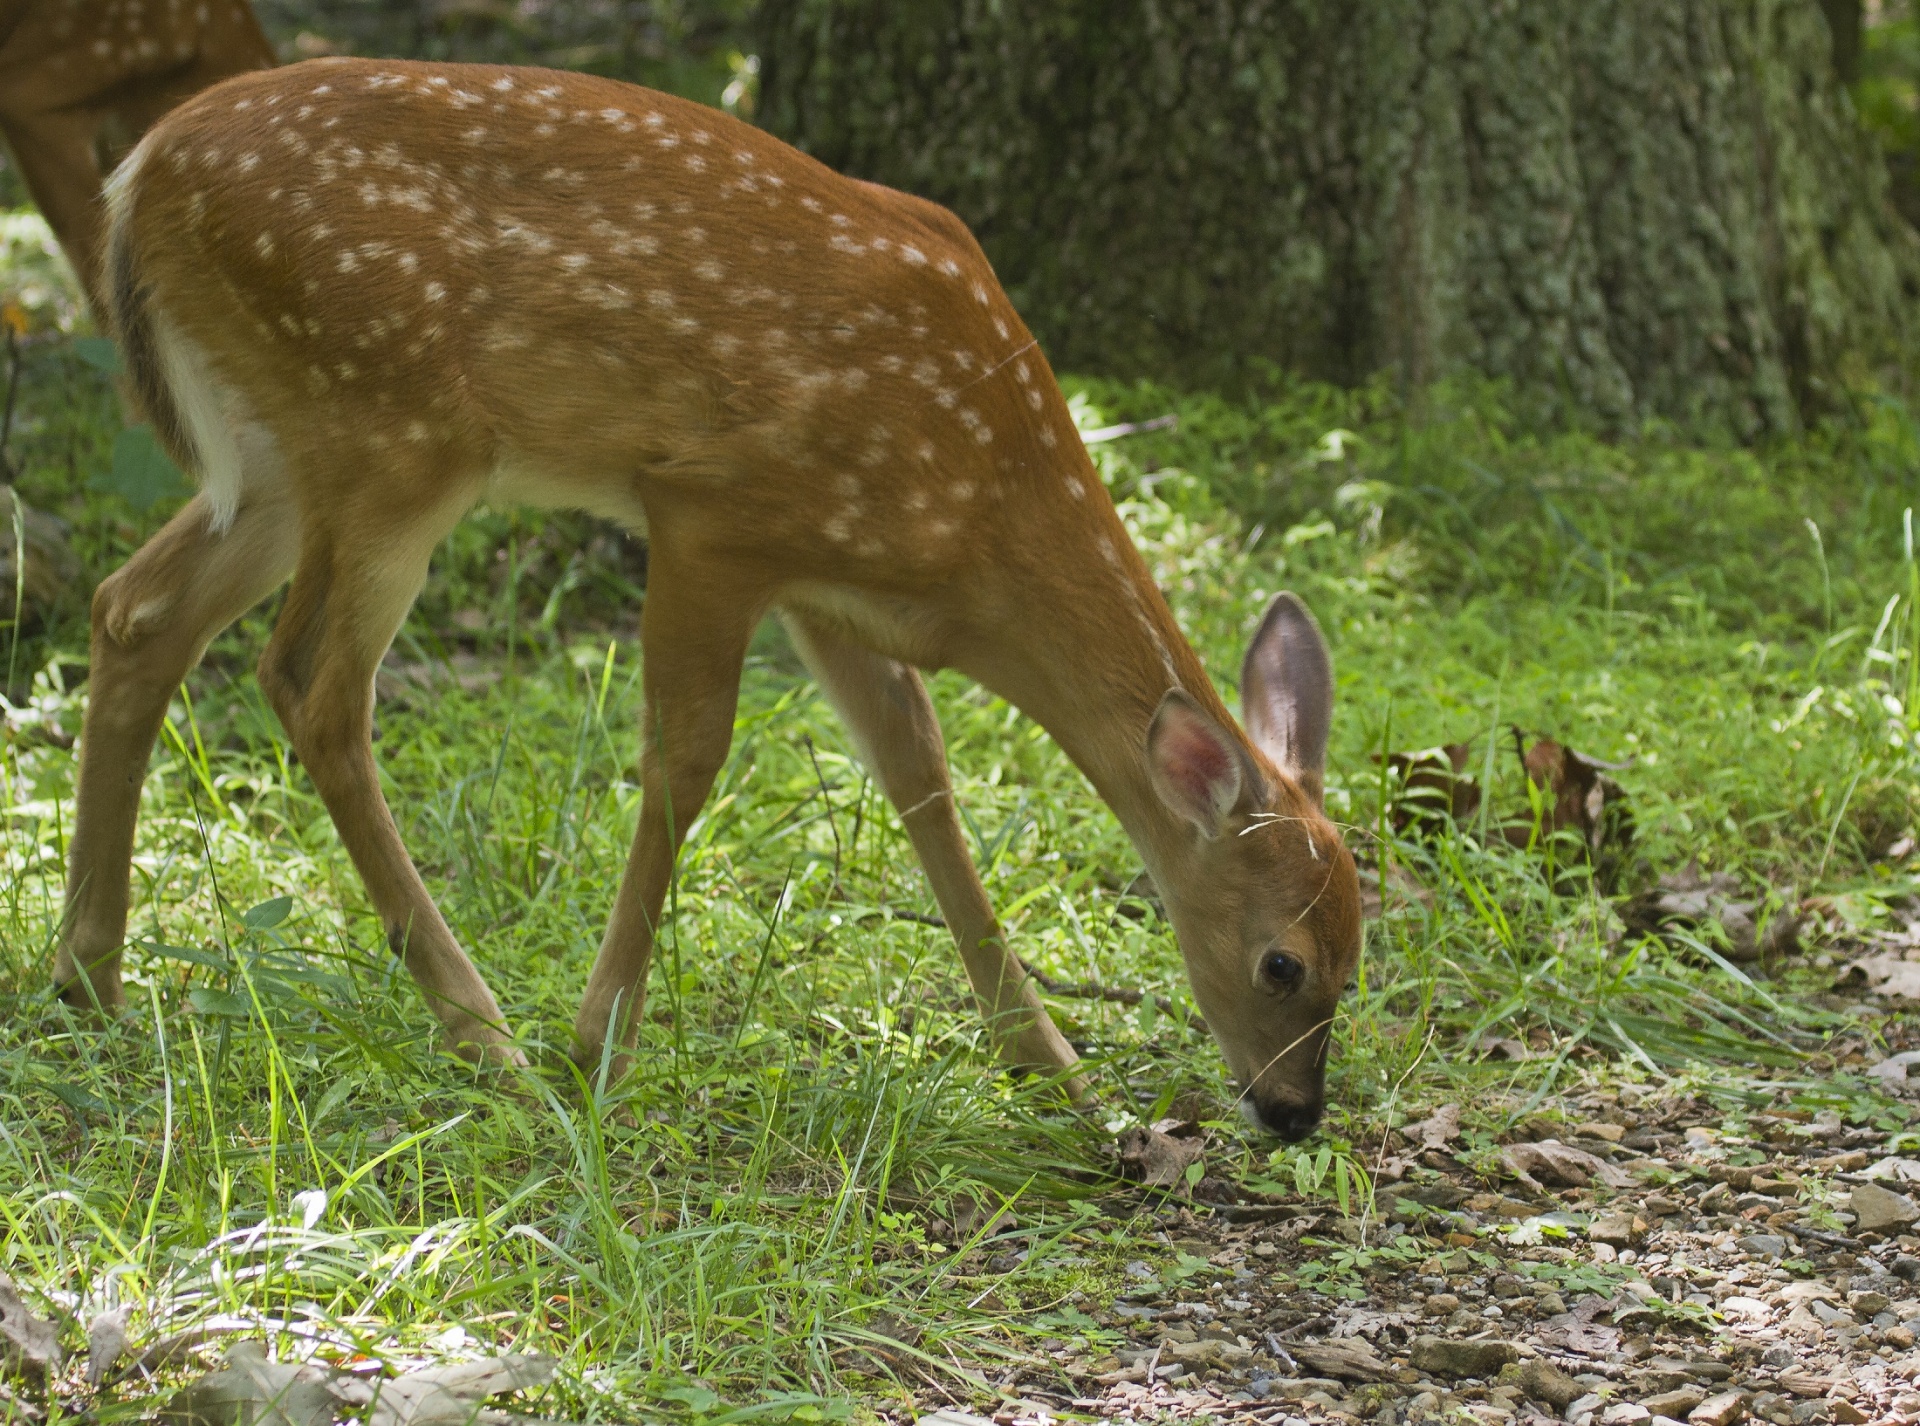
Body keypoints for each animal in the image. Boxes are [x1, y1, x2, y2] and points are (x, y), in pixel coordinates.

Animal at [63, 58, 1367, 1136]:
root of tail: (135, 175)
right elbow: (686, 762)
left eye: (1361, 955)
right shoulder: (712, 514)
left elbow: (919, 773)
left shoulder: (831, 588)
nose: (1295, 1113)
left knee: (134, 609)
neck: (980, 515)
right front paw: (601, 1042)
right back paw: (488, 1038)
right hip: (389, 430)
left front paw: (1050, 1065)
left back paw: (87, 974)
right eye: (1284, 964)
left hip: (282, 454)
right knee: (310, 683)